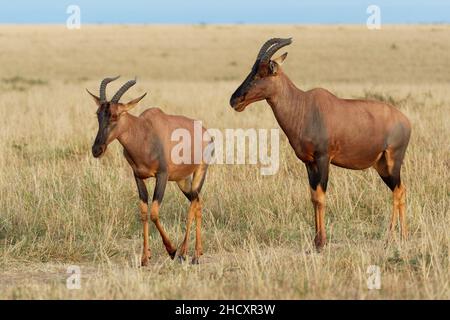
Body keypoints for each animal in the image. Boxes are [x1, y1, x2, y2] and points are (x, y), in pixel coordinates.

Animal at [88, 77, 214, 264]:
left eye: (115, 115)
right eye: (98, 114)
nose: (97, 150)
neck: (144, 132)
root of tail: (205, 133)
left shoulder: (162, 175)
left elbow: (154, 212)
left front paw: (171, 250)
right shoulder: (138, 176)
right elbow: (143, 212)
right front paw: (144, 258)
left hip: (200, 171)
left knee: (193, 205)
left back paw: (187, 253)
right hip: (182, 180)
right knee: (197, 202)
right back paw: (195, 253)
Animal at [232, 38, 412, 250]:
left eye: (262, 73)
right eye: (252, 70)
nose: (234, 100)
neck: (304, 106)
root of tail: (405, 120)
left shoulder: (323, 158)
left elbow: (321, 197)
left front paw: (322, 243)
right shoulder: (309, 163)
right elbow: (313, 197)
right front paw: (316, 240)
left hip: (393, 162)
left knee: (399, 191)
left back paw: (395, 237)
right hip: (381, 165)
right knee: (399, 190)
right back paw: (399, 237)